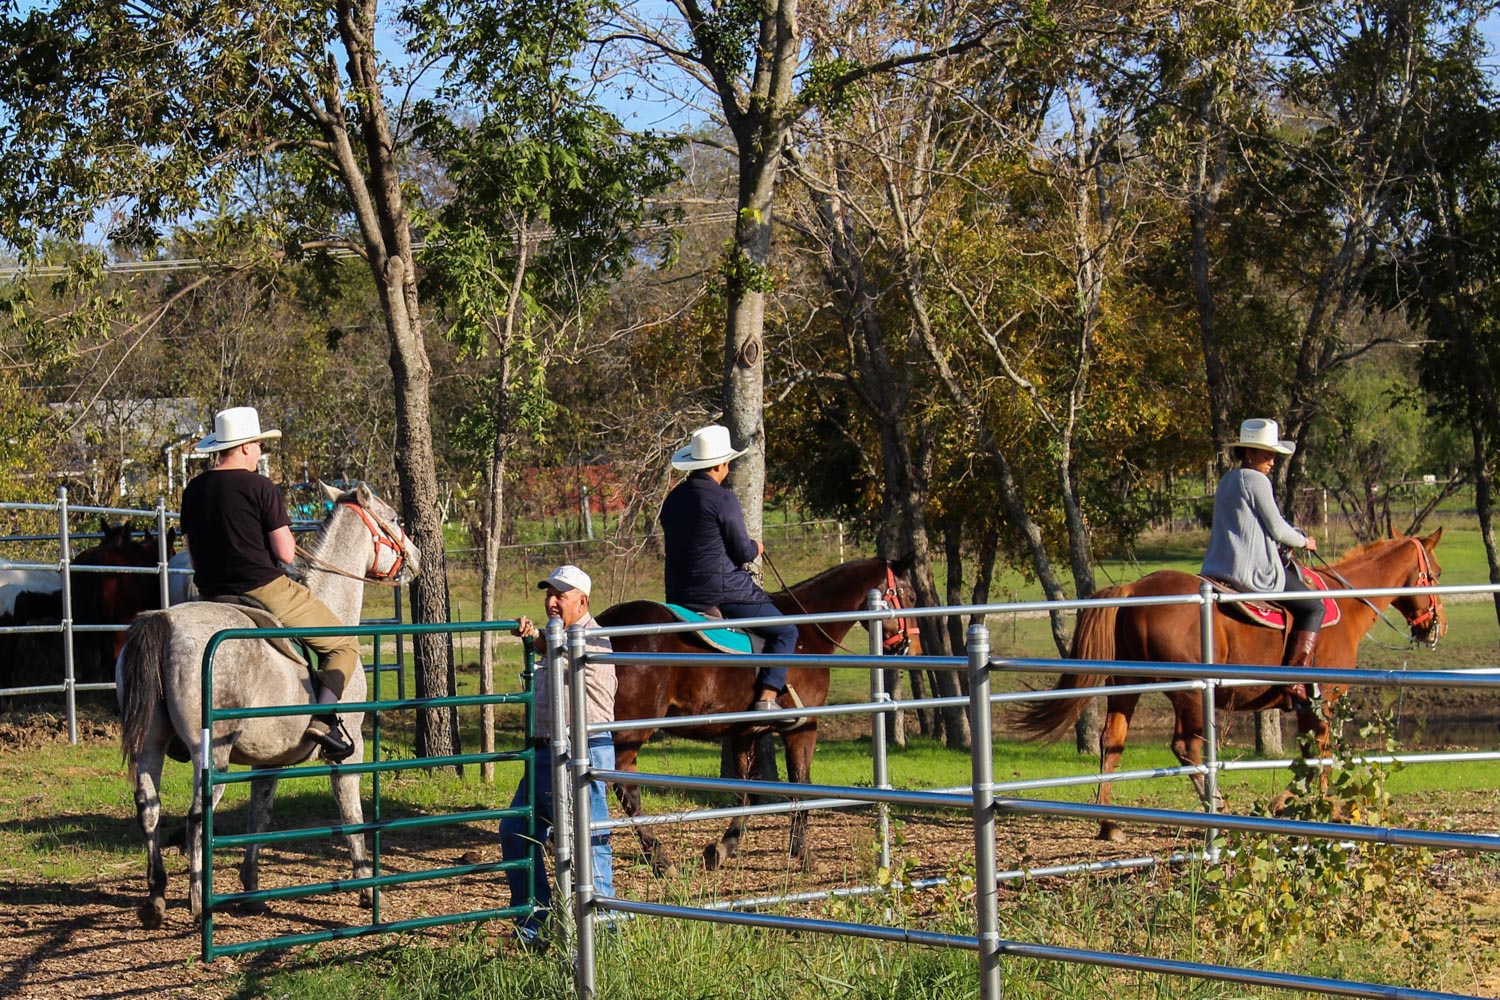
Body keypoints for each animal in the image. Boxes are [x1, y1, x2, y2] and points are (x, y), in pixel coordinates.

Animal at [117, 479, 420, 929]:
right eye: (396, 519)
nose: (416, 557)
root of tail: (166, 621)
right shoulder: (350, 752)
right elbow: (351, 814)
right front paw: (367, 889)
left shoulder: (269, 761)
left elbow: (258, 817)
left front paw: (252, 890)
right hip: (212, 755)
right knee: (195, 820)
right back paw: (197, 903)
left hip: (150, 745)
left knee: (149, 811)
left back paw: (156, 899)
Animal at [594, 554, 918, 875]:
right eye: (912, 596)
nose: (907, 646)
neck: (807, 627)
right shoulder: (803, 728)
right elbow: (800, 787)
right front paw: (804, 855)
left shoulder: (745, 733)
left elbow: (748, 793)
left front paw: (721, 849)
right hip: (630, 732)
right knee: (623, 788)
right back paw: (657, 859)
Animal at [1014, 530, 1446, 845]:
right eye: (1437, 573)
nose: (1434, 628)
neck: (1348, 603)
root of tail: (1133, 590)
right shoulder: (1321, 701)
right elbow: (1319, 752)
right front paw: (1318, 806)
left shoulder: (1308, 706)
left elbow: (1310, 754)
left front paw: (1296, 802)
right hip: (1189, 692)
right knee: (1186, 747)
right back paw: (1216, 808)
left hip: (1128, 685)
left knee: (1112, 742)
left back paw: (1109, 824)